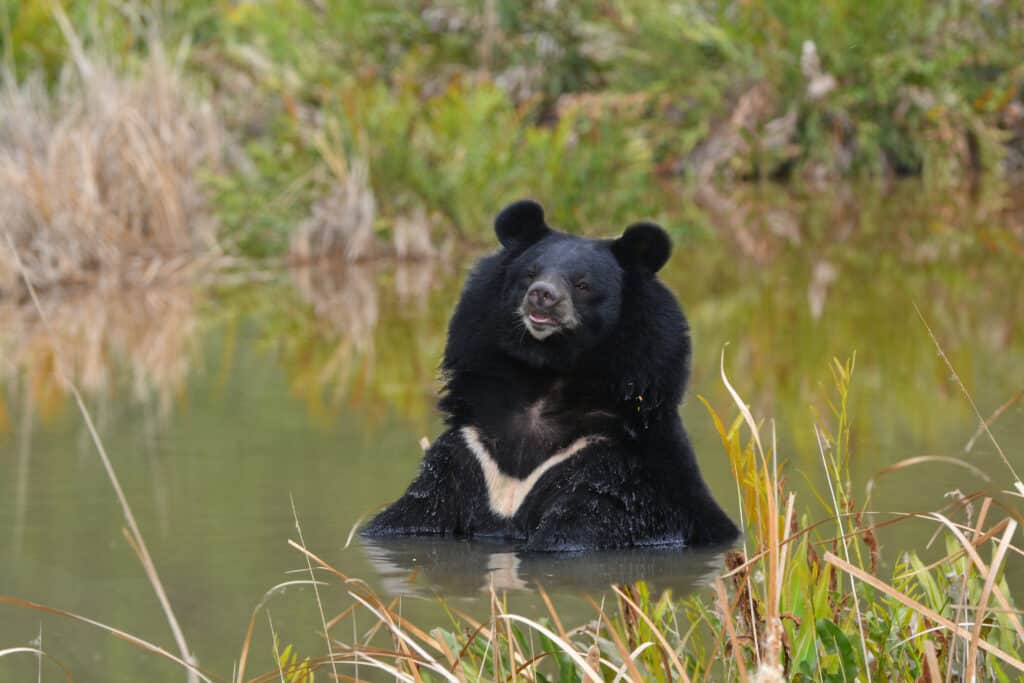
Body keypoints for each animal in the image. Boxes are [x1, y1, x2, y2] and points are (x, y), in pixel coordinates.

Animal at [364, 200, 741, 552]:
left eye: (583, 284)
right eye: (530, 273)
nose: (542, 296)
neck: (546, 372)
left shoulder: (613, 465)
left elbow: (581, 527)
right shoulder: (472, 449)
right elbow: (414, 513)